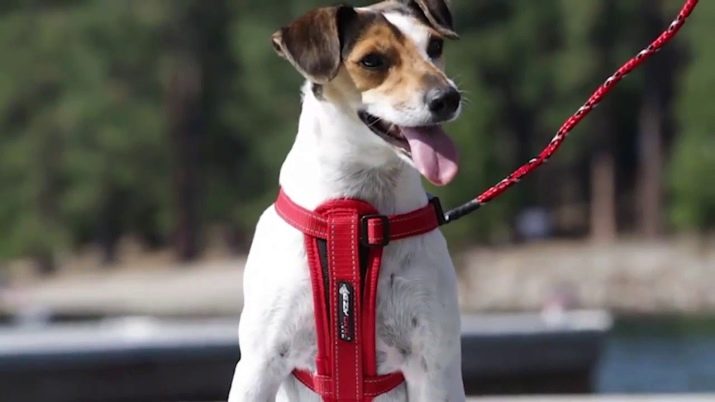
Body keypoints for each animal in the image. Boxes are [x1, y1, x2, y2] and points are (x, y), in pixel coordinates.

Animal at [228, 1, 465, 401]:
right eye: (372, 60)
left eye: (434, 46)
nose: (447, 98)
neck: (354, 217)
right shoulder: (259, 366)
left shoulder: (434, 366)